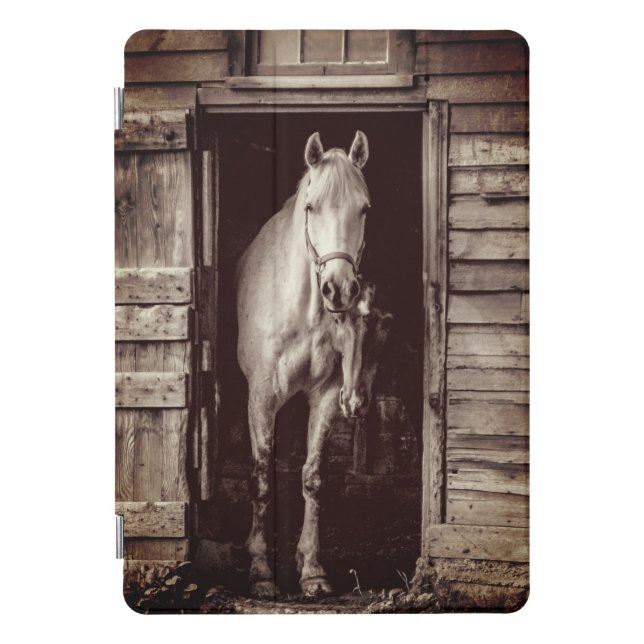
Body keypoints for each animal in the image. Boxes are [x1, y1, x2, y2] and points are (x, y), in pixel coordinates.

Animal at [236, 130, 382, 597]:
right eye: (311, 207)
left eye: (364, 208)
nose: (339, 288)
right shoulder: (261, 397)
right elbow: (261, 478)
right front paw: (260, 571)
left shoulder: (327, 396)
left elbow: (313, 478)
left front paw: (312, 570)